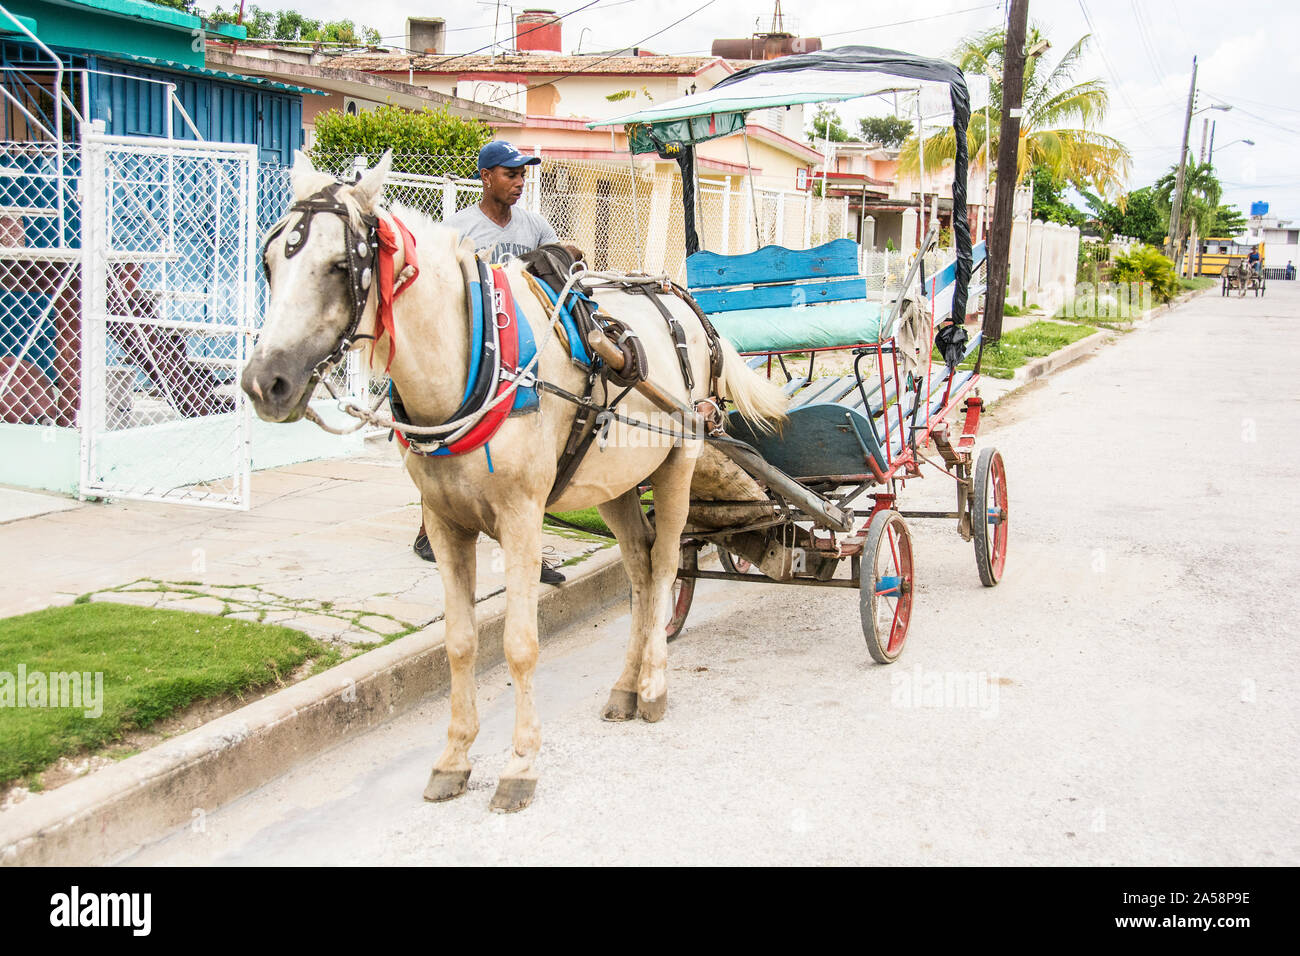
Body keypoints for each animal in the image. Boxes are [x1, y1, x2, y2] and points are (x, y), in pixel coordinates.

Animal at [243, 153, 780, 811]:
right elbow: (461, 642)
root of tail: (683, 303)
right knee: (638, 567)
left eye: (340, 266)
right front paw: (453, 758)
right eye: (269, 262)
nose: (265, 382)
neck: (474, 361)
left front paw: (521, 764)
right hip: (615, 484)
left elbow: (520, 645)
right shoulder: (445, 523)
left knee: (665, 566)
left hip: (680, 459)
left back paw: (653, 686)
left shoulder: (522, 517)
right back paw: (626, 686)